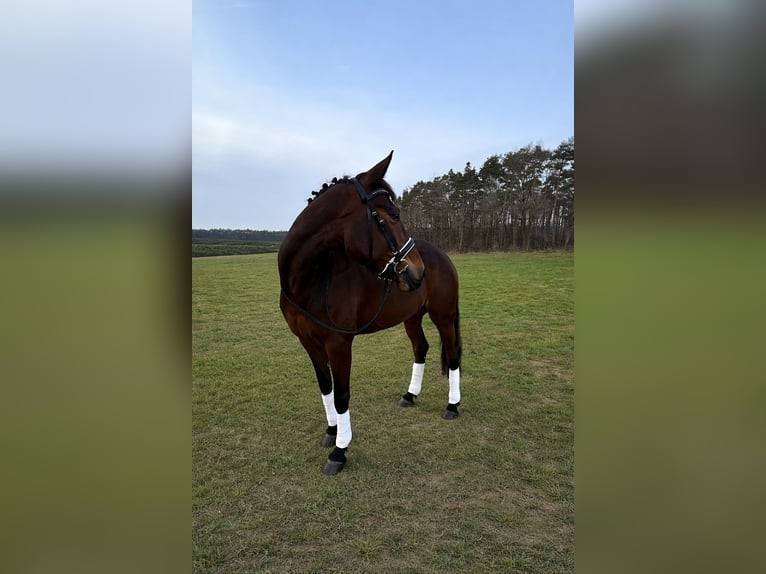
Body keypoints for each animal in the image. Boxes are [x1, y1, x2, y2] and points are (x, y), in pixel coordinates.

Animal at [278, 151, 462, 475]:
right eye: (394, 215)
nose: (416, 271)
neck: (309, 278)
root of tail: (441, 256)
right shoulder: (308, 342)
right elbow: (326, 387)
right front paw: (331, 432)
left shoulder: (339, 344)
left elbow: (342, 394)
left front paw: (339, 451)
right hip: (412, 318)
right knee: (421, 348)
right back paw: (410, 396)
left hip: (444, 316)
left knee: (451, 355)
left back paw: (452, 406)